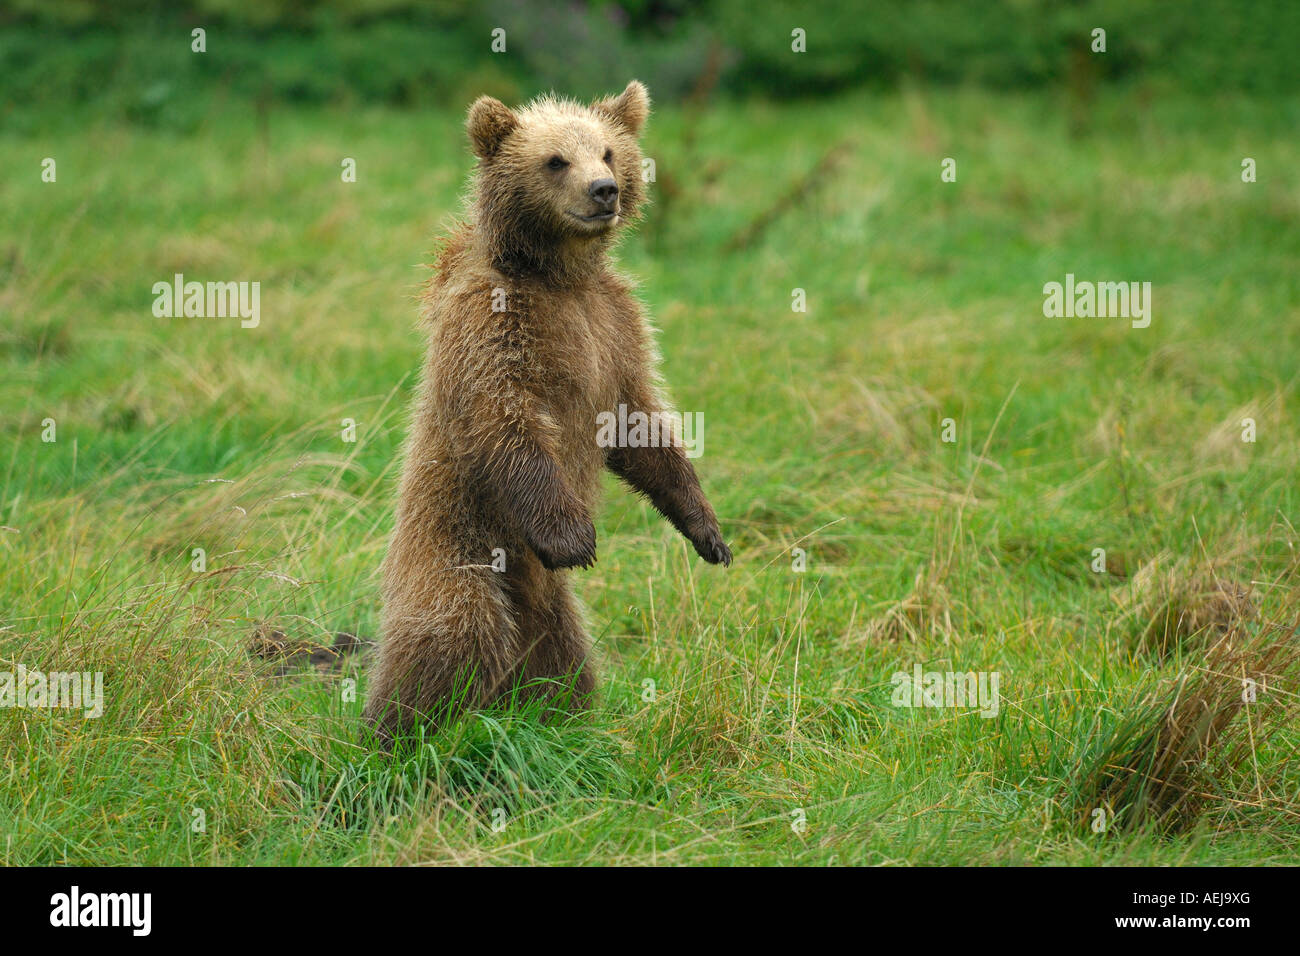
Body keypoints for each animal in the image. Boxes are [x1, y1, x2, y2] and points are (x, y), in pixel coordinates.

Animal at [362, 81, 732, 741]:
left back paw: (563, 723)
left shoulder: (614, 326)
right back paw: (393, 734)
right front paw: (574, 537)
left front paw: (707, 530)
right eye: (556, 160)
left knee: (563, 664)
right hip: (458, 545)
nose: (603, 190)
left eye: (607, 151)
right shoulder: (496, 324)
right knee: (451, 637)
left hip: (549, 606)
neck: (558, 273)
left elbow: (640, 422)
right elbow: (505, 418)